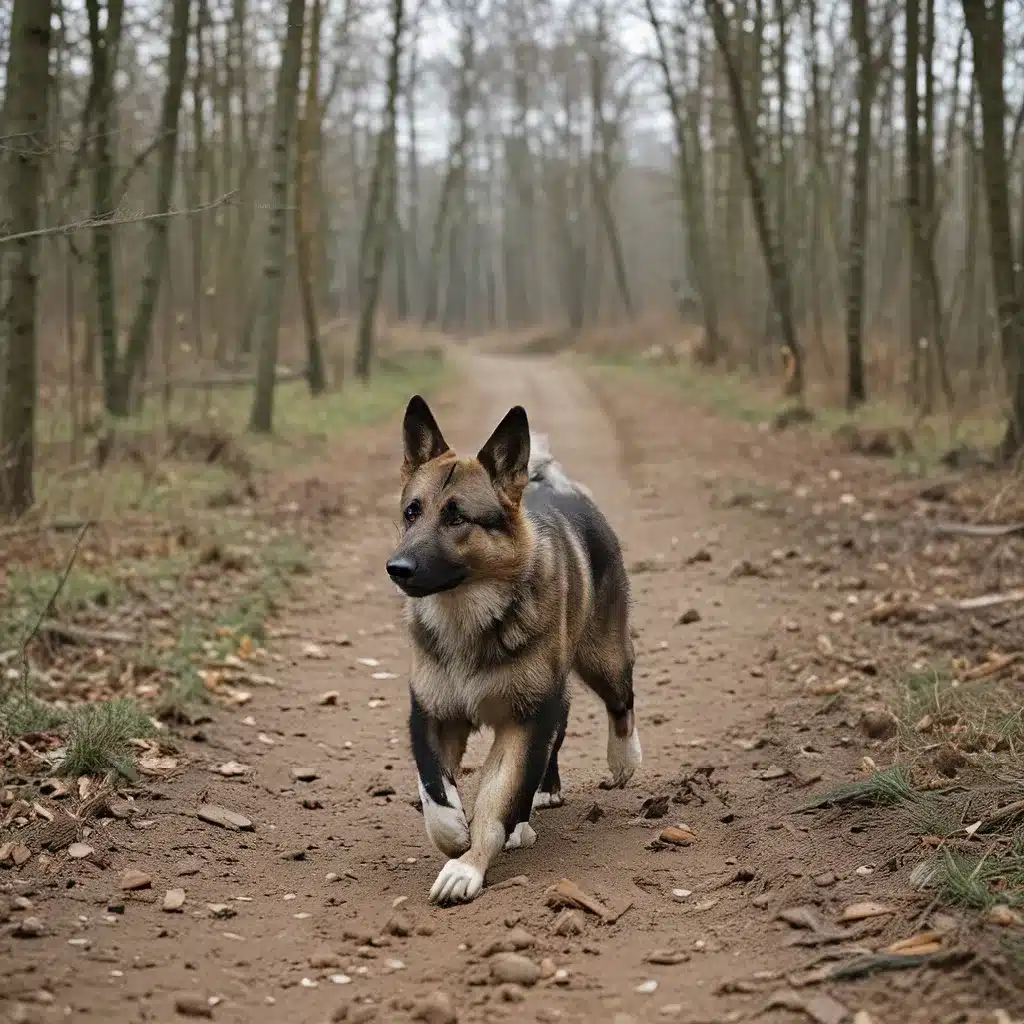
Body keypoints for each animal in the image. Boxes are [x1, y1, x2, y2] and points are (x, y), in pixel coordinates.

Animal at [385, 395, 638, 909]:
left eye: (457, 517)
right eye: (412, 512)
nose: (396, 568)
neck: (467, 615)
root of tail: (556, 487)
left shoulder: (523, 720)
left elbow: (497, 797)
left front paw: (469, 863)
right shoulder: (431, 712)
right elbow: (434, 789)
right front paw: (455, 834)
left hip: (601, 658)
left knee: (621, 697)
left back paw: (622, 757)